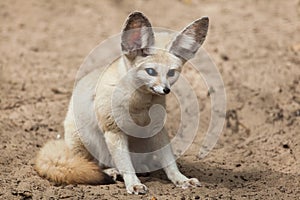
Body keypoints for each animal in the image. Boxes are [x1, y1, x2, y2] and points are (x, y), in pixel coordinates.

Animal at [34, 11, 209, 195]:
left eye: (171, 73)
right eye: (151, 71)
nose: (165, 90)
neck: (139, 107)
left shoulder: (157, 129)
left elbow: (169, 162)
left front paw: (181, 179)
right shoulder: (113, 130)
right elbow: (125, 164)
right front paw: (133, 183)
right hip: (82, 141)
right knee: (94, 164)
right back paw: (110, 171)